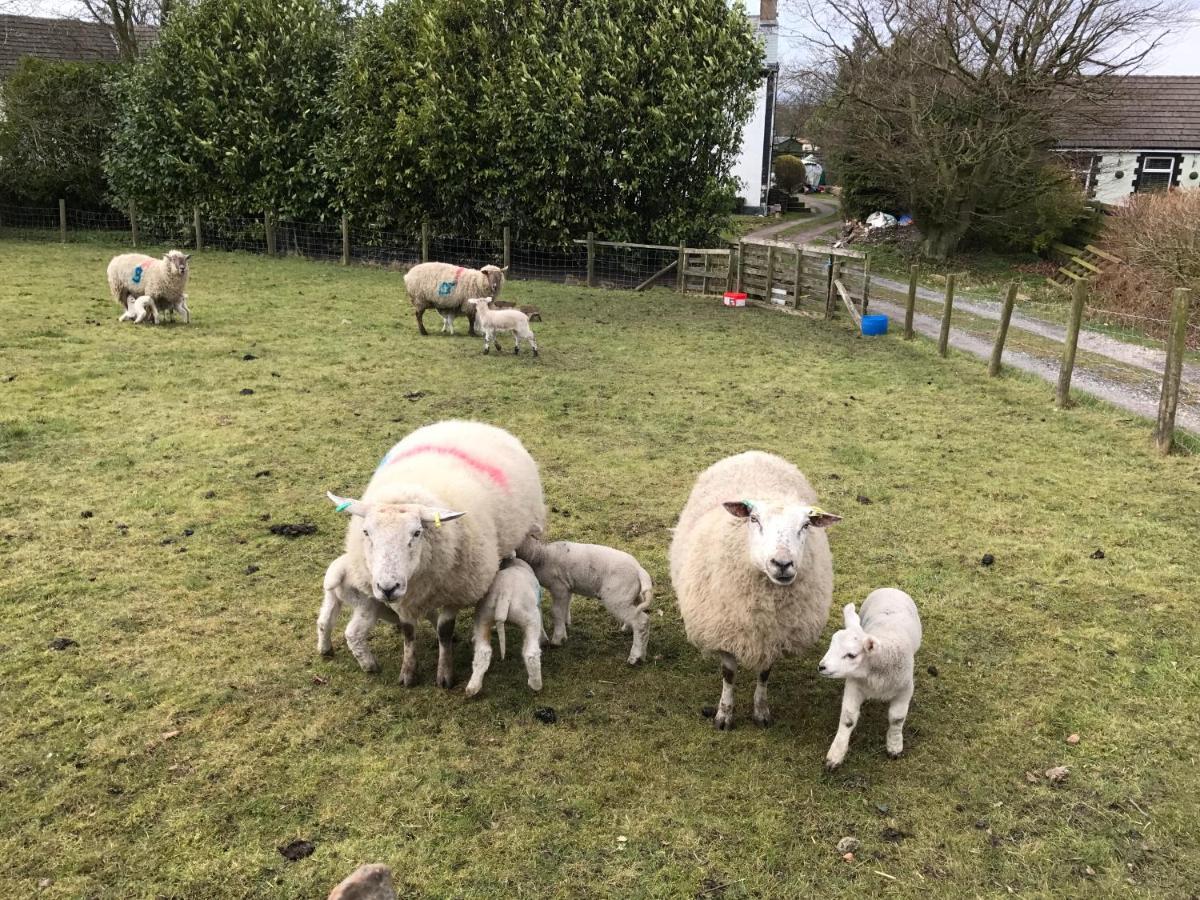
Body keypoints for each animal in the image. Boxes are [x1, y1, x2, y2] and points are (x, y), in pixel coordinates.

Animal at [319, 420, 544, 686]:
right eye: (366, 532)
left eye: (417, 533)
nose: (387, 588)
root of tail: (467, 422)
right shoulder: (405, 599)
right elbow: (408, 632)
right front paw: (408, 672)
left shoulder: (455, 591)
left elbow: (445, 631)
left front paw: (445, 674)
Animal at [463, 556, 549, 696]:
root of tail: (504, 593)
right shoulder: (538, 608)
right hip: (530, 618)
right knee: (531, 653)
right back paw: (536, 684)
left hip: (483, 617)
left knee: (483, 652)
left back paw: (473, 687)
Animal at [513, 540, 652, 667]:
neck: (541, 555)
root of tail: (639, 570)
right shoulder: (567, 587)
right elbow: (565, 606)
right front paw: (566, 624)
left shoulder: (559, 586)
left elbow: (556, 612)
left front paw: (557, 639)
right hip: (631, 596)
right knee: (636, 615)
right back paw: (638, 646)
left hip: (617, 597)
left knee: (641, 621)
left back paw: (634, 656)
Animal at [672, 451, 840, 734]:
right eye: (754, 519)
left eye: (806, 524)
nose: (782, 564)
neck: (763, 607)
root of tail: (755, 453)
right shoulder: (726, 630)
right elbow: (729, 675)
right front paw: (724, 715)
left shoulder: (772, 636)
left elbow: (764, 674)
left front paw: (761, 712)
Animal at [820, 588, 921, 772]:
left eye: (851, 655)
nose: (821, 667)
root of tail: (890, 588)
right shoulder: (854, 685)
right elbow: (848, 719)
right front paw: (836, 755)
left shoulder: (905, 689)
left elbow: (897, 719)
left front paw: (894, 746)